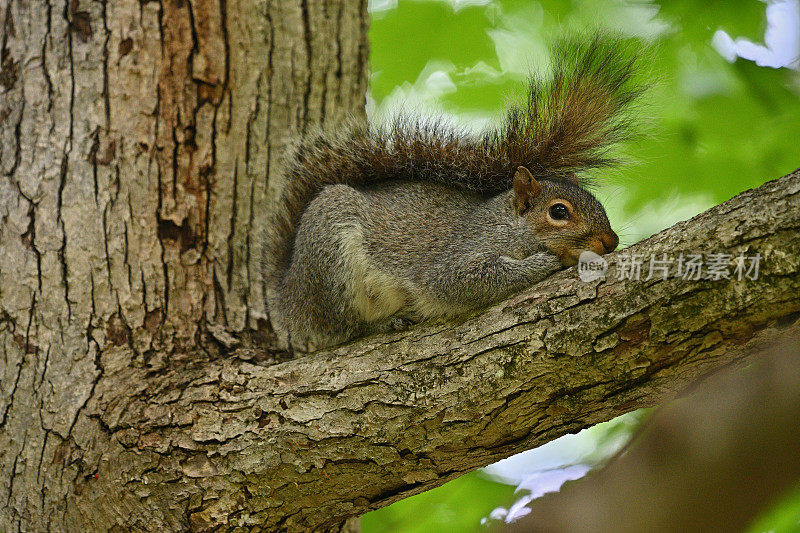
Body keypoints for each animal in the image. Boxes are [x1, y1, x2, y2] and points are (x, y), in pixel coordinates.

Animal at [266, 35, 648, 354]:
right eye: (558, 212)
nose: (611, 241)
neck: (509, 225)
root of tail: (288, 300)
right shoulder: (460, 256)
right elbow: (466, 280)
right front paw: (544, 263)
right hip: (331, 259)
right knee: (337, 329)